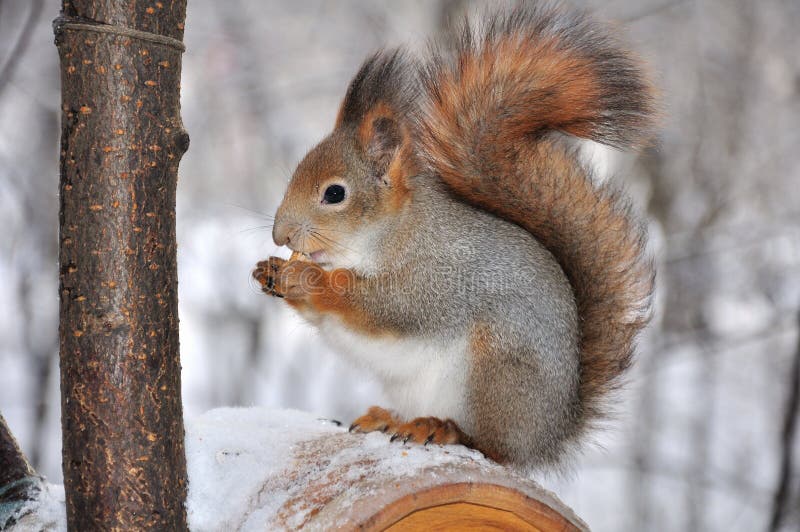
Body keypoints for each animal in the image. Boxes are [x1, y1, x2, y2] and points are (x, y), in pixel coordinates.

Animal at [252, 3, 656, 470]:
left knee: (493, 447)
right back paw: (389, 418)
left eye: (334, 194)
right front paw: (270, 272)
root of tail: (550, 433)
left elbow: (385, 306)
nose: (280, 235)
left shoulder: (436, 277)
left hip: (496, 370)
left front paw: (310, 280)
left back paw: (443, 428)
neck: (390, 234)